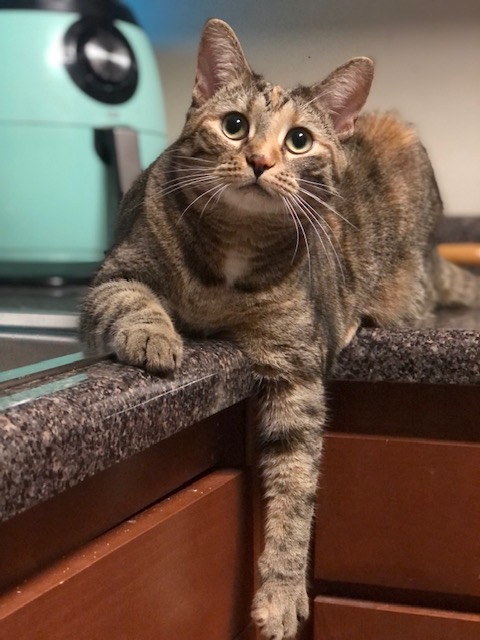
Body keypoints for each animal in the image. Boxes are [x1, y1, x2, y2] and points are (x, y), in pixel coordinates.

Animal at [81, 17, 480, 636]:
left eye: (298, 140)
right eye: (234, 125)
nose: (260, 161)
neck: (234, 249)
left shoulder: (294, 370)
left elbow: (296, 487)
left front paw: (283, 589)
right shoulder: (115, 272)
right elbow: (132, 297)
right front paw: (155, 337)